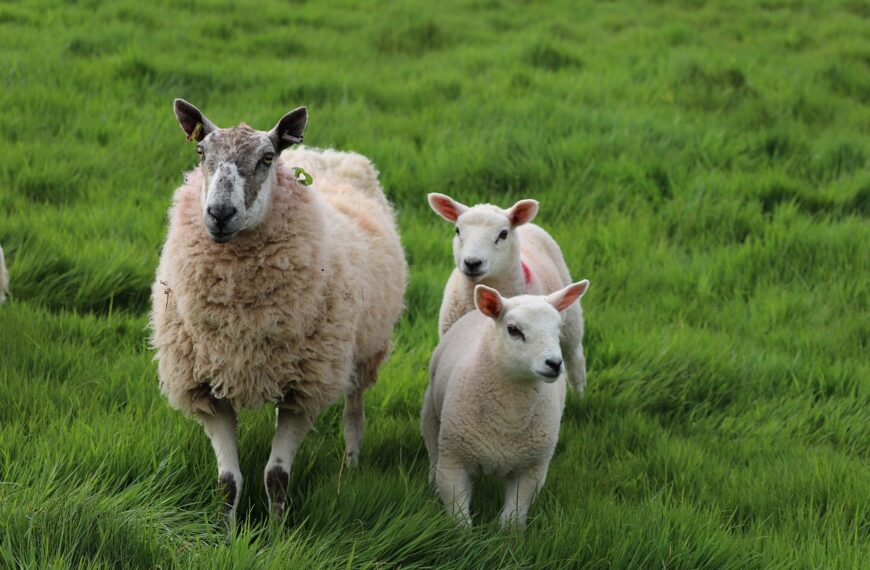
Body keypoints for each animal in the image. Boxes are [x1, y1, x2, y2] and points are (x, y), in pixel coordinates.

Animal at [152, 98, 410, 520]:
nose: (219, 213)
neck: (240, 320)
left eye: (267, 158)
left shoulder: (304, 390)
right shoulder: (206, 388)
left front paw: (276, 530)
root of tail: (327, 153)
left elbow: (275, 477)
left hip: (363, 350)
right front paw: (225, 530)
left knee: (354, 410)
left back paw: (352, 466)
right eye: (201, 152)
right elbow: (228, 482)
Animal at [424, 280, 592, 528]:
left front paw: (508, 537)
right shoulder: (454, 461)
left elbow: (512, 519)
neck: (508, 416)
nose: (554, 363)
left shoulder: (532, 469)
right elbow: (459, 519)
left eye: (558, 329)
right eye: (513, 330)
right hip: (431, 417)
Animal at [426, 193, 588, 392]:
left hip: (571, 321)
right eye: (457, 230)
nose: (472, 263)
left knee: (575, 358)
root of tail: (527, 226)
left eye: (503, 234)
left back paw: (579, 394)